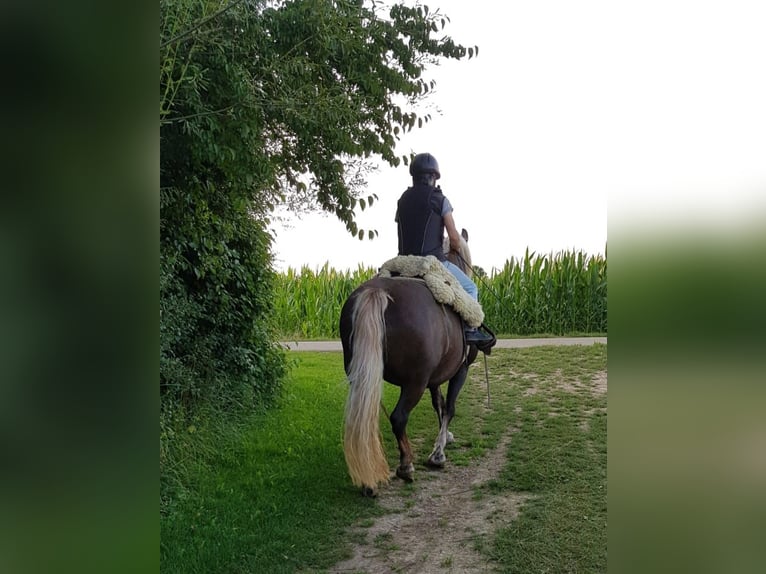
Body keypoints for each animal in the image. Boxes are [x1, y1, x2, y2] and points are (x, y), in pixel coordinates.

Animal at [340, 230, 480, 500]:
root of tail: (376, 293)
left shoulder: (435, 379)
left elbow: (439, 405)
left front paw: (444, 437)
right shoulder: (460, 370)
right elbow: (450, 407)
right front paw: (438, 454)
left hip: (362, 376)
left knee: (365, 417)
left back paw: (369, 479)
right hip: (414, 382)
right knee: (398, 417)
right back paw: (406, 466)